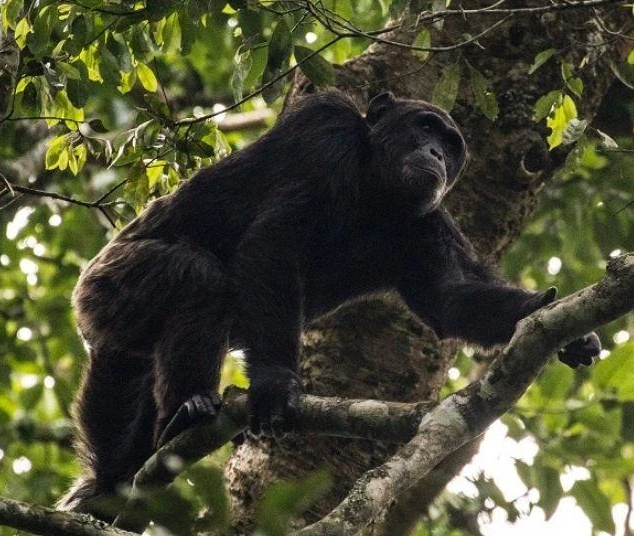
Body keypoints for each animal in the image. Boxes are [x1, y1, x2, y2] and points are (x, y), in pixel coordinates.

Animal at [58, 91, 596, 520]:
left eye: (451, 145)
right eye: (425, 127)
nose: (436, 154)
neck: (374, 184)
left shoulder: (427, 223)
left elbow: (452, 299)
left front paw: (555, 323)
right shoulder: (323, 131)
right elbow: (276, 239)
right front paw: (277, 382)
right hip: (110, 286)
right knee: (199, 279)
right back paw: (189, 409)